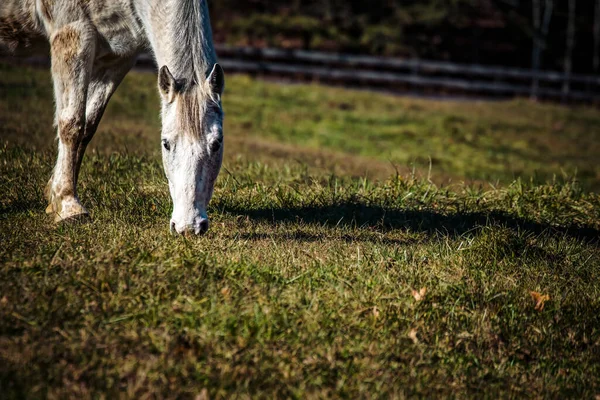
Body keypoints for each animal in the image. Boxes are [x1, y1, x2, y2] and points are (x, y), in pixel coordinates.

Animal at [0, 0, 225, 236]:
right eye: (166, 144)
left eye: (217, 144)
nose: (189, 227)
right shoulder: (72, 33)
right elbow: (72, 123)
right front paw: (69, 205)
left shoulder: (118, 58)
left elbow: (88, 124)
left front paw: (55, 197)